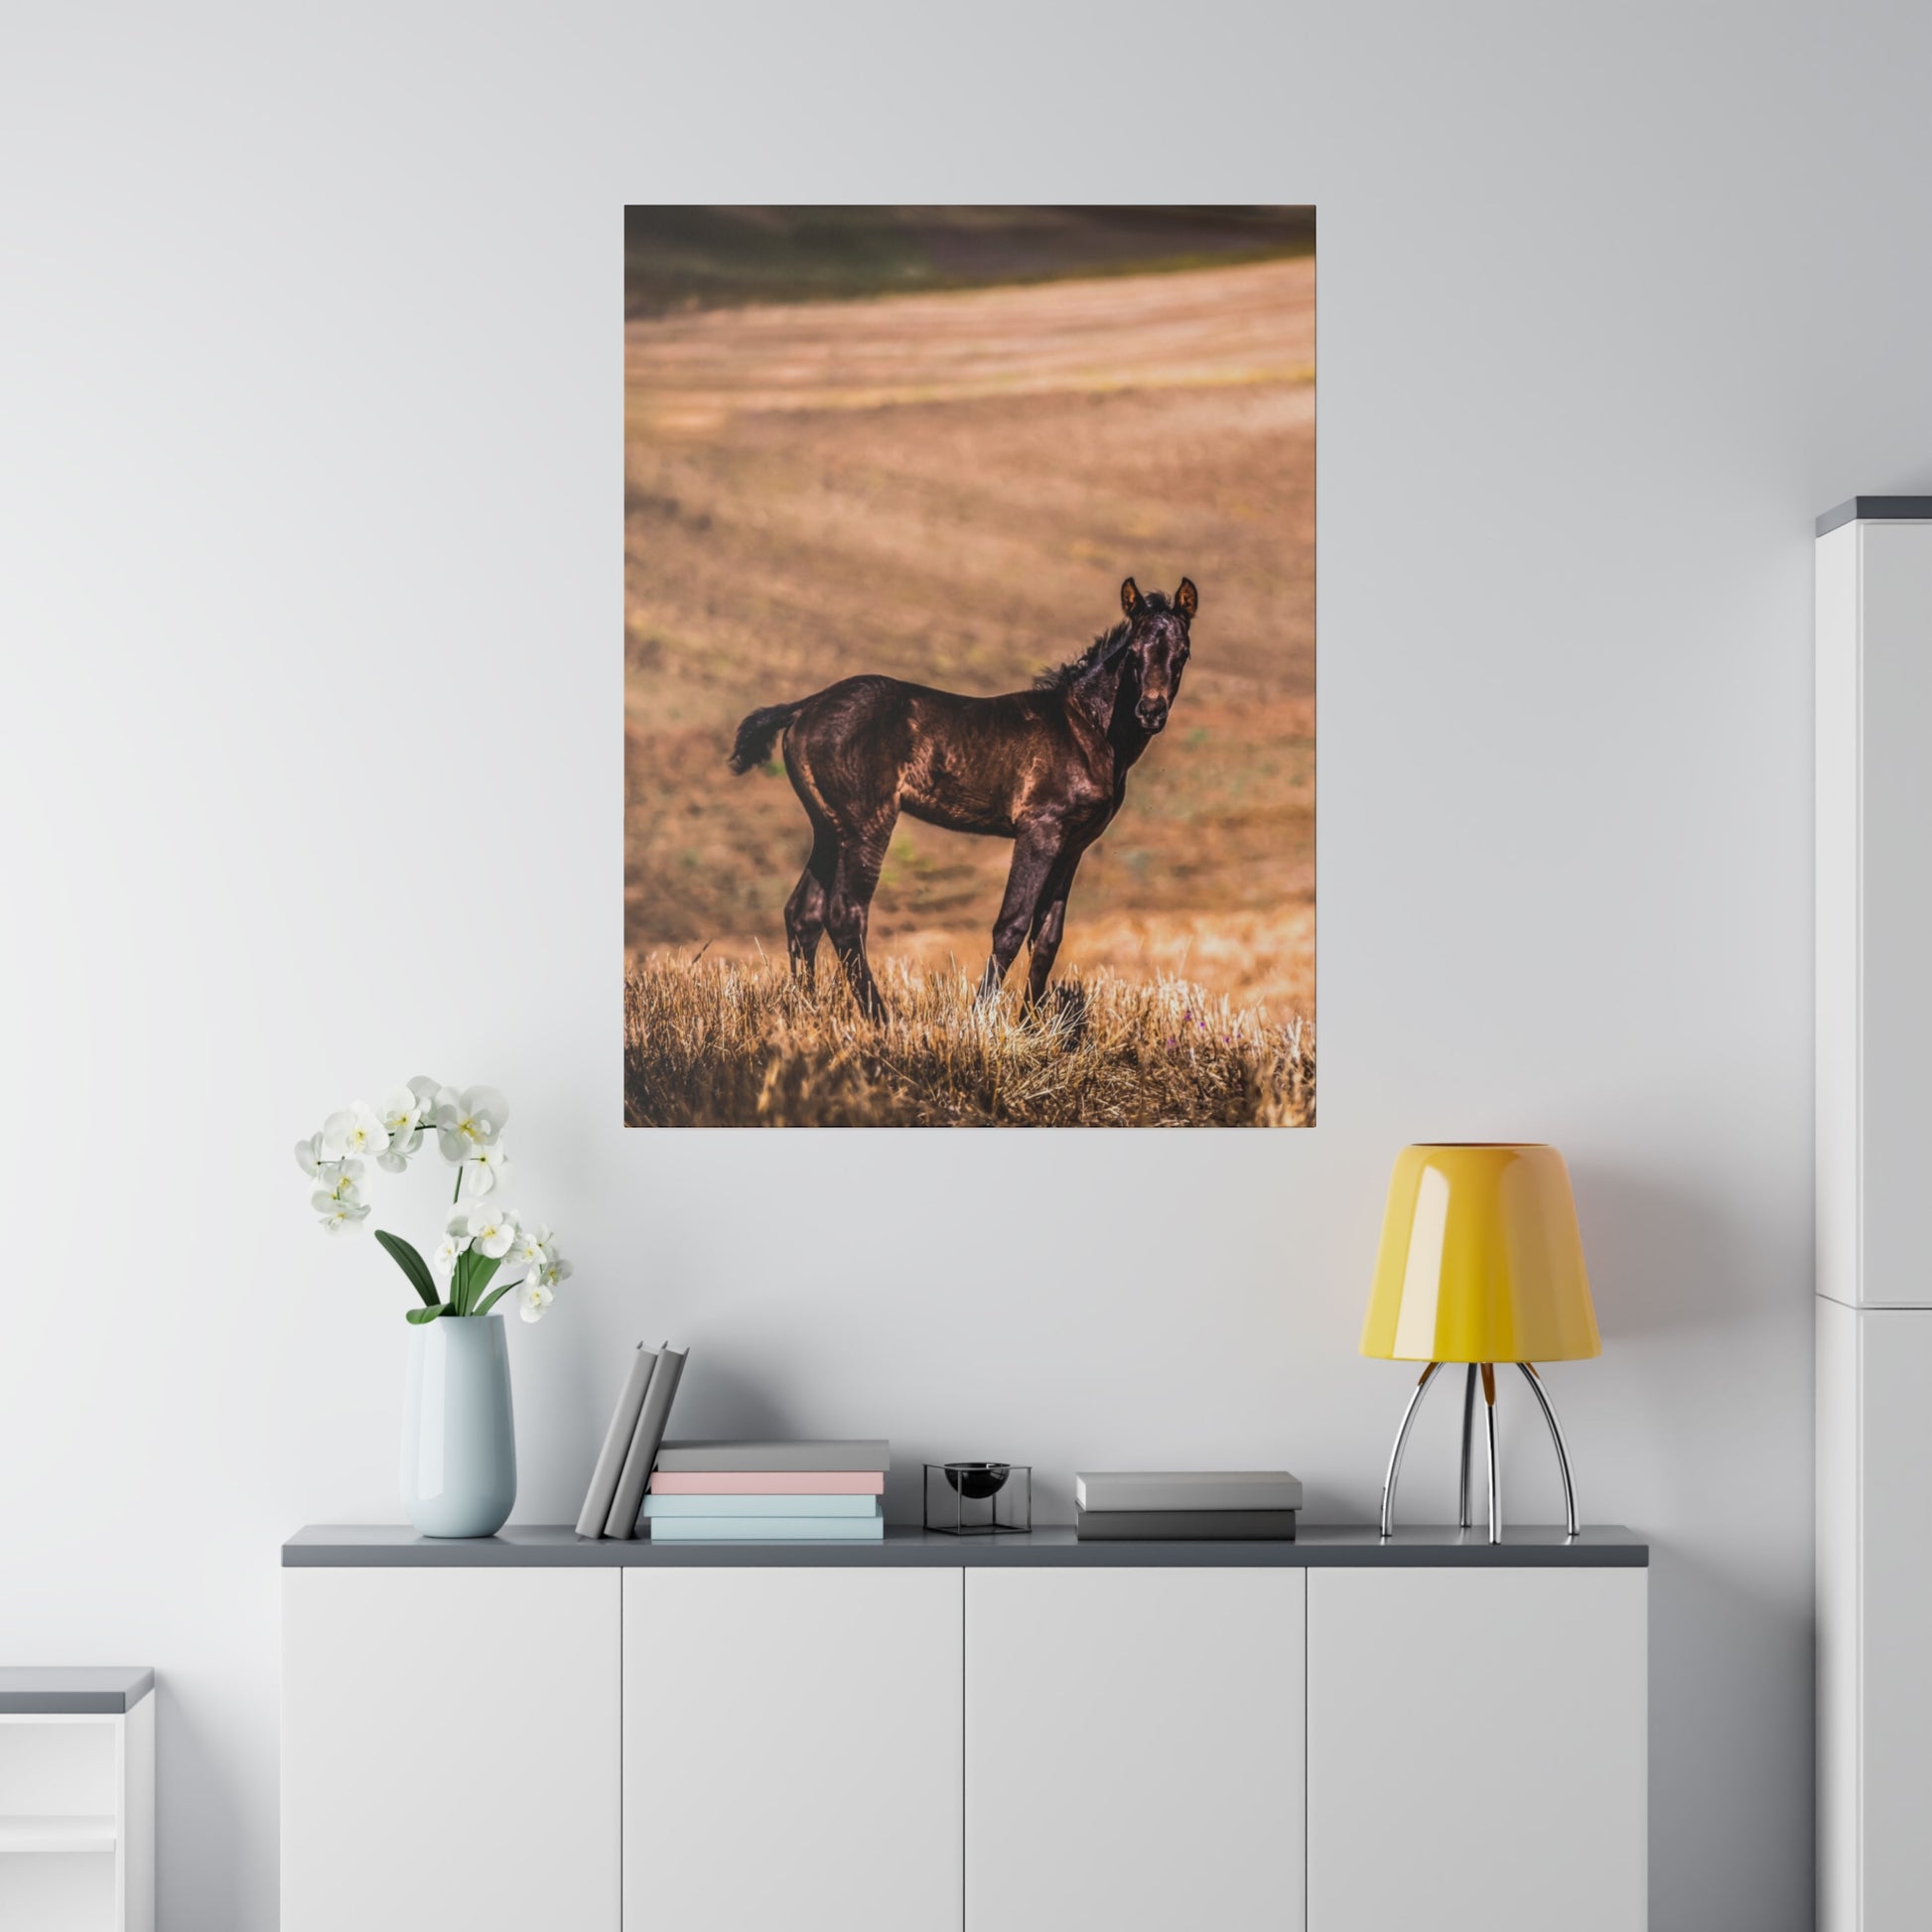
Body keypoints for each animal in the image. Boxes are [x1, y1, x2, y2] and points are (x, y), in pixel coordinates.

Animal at [726, 572, 1189, 1020]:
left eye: (1182, 653)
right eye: (1133, 653)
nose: (1151, 712)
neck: (1087, 728)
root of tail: (806, 706)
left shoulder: (1074, 845)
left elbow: (1048, 937)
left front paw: (1033, 1025)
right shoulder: (1040, 832)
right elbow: (1012, 926)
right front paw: (980, 1019)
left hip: (828, 827)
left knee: (803, 912)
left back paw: (807, 1010)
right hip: (866, 822)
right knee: (844, 914)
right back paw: (881, 1019)